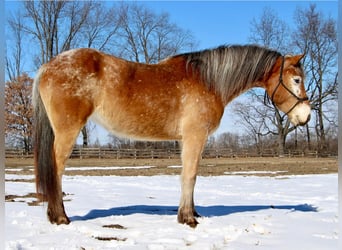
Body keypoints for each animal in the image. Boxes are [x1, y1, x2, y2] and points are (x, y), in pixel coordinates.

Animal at [33, 44, 312, 228]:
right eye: (297, 79)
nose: (306, 116)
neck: (209, 81)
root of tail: (48, 66)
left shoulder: (187, 140)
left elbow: (189, 175)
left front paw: (193, 212)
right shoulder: (195, 136)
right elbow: (190, 175)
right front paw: (187, 218)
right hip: (68, 131)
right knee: (56, 169)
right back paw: (60, 217)